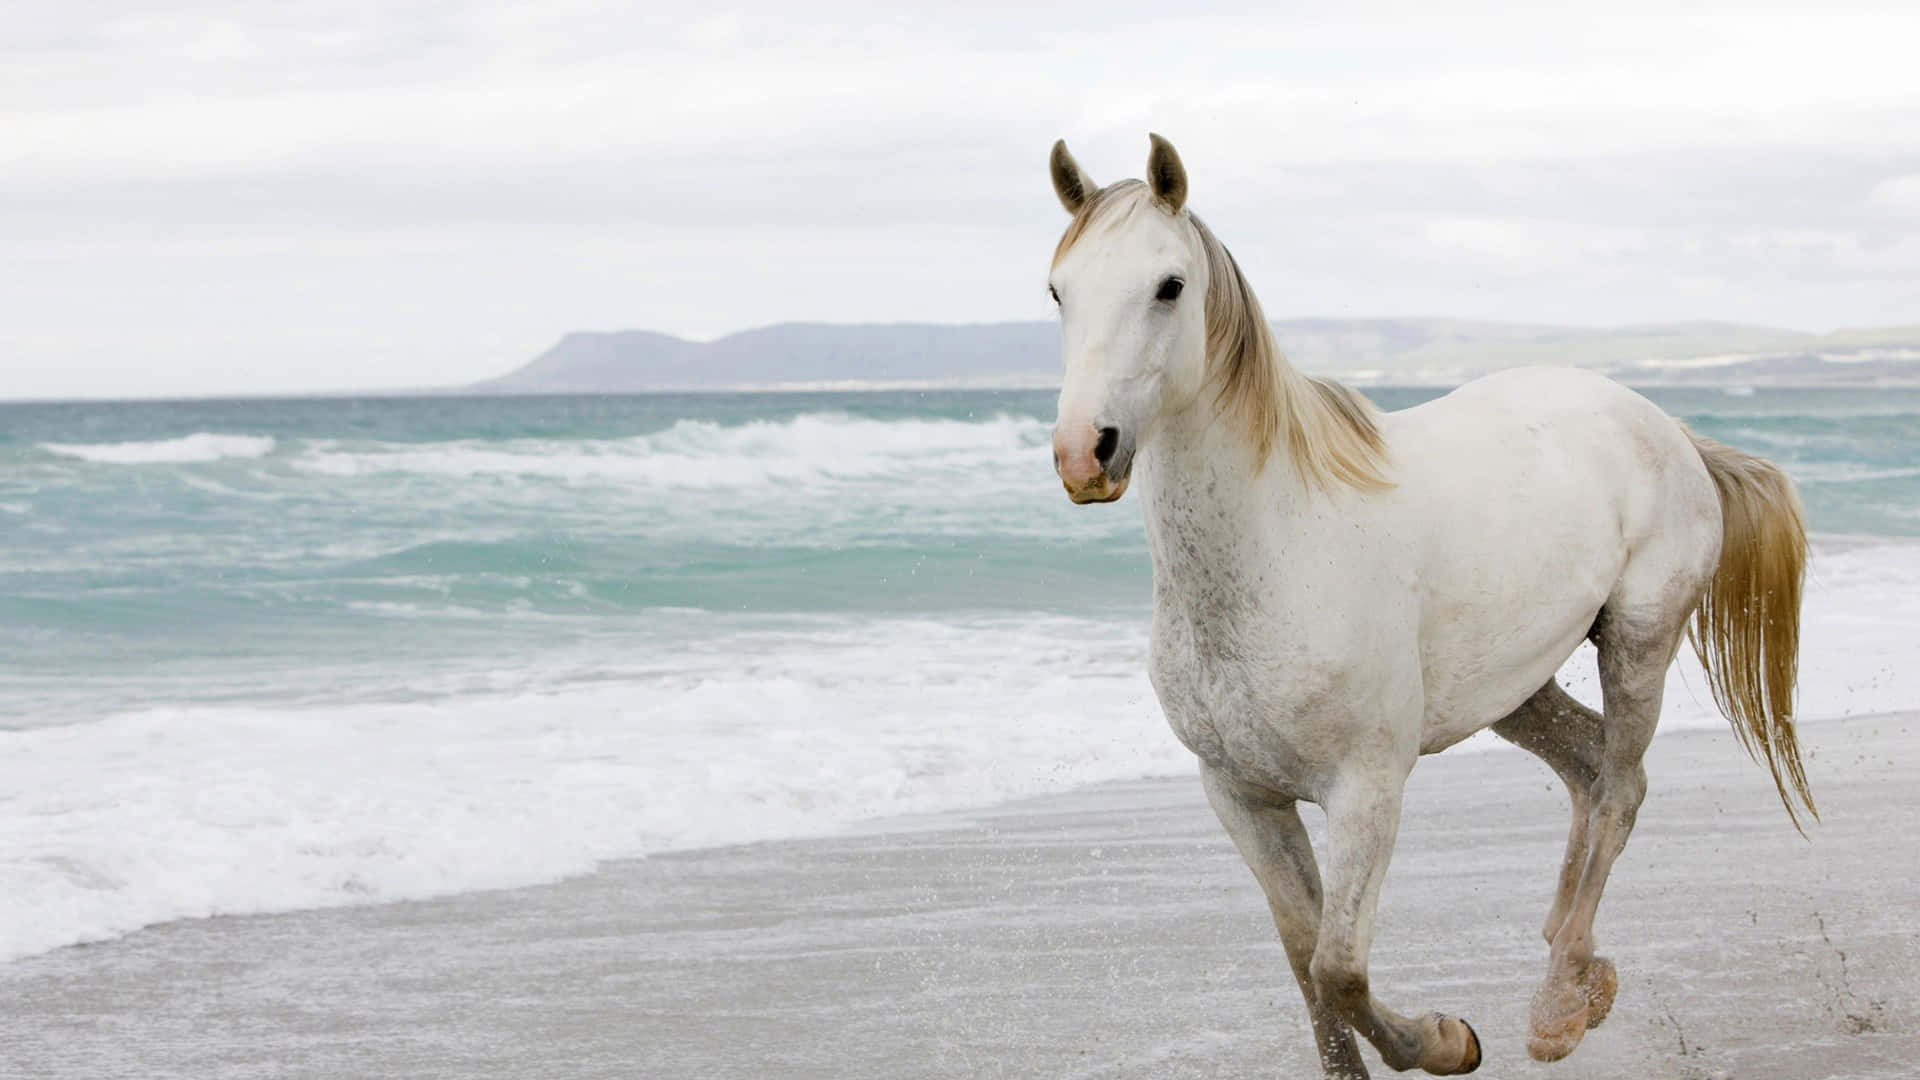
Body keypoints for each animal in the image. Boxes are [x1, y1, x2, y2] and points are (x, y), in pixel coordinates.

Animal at [1042, 134, 1813, 1078]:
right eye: (1059, 290)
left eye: (1169, 286)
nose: (1085, 452)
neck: (1278, 547)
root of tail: (1670, 430)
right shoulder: (1242, 796)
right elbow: (1305, 964)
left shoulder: (1366, 791)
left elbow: (1338, 969)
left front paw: (1449, 1041)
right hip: (1514, 689)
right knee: (1590, 769)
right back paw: (1578, 967)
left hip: (1638, 640)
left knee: (1621, 785)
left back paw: (1557, 1007)